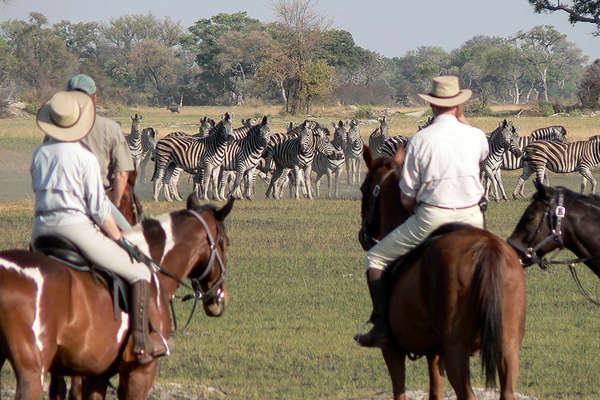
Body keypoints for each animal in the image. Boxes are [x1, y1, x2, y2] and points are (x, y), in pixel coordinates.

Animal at [358, 146, 528, 400]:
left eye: (363, 189)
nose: (364, 236)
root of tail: (486, 248)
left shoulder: (392, 351)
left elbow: (400, 391)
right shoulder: (435, 353)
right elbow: (435, 392)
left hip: (456, 350)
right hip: (507, 348)